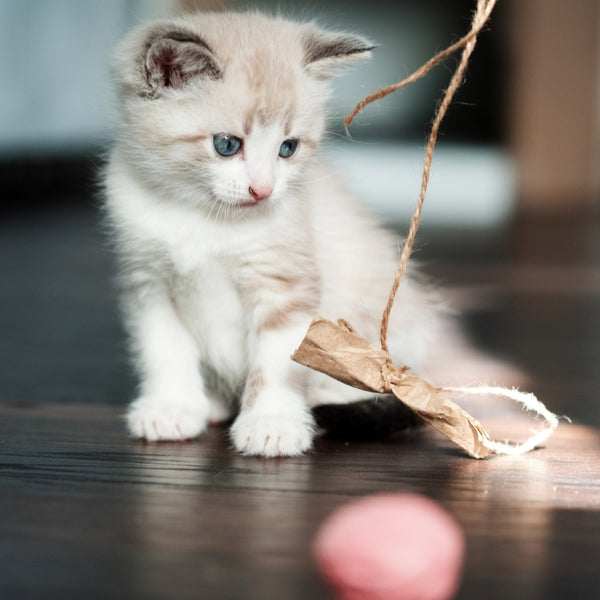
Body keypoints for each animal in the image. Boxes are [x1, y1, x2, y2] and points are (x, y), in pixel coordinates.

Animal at [104, 11, 464, 458]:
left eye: (288, 148)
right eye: (227, 145)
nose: (263, 190)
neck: (201, 215)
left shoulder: (284, 285)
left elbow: (277, 362)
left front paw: (272, 424)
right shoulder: (149, 284)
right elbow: (164, 351)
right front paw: (171, 408)